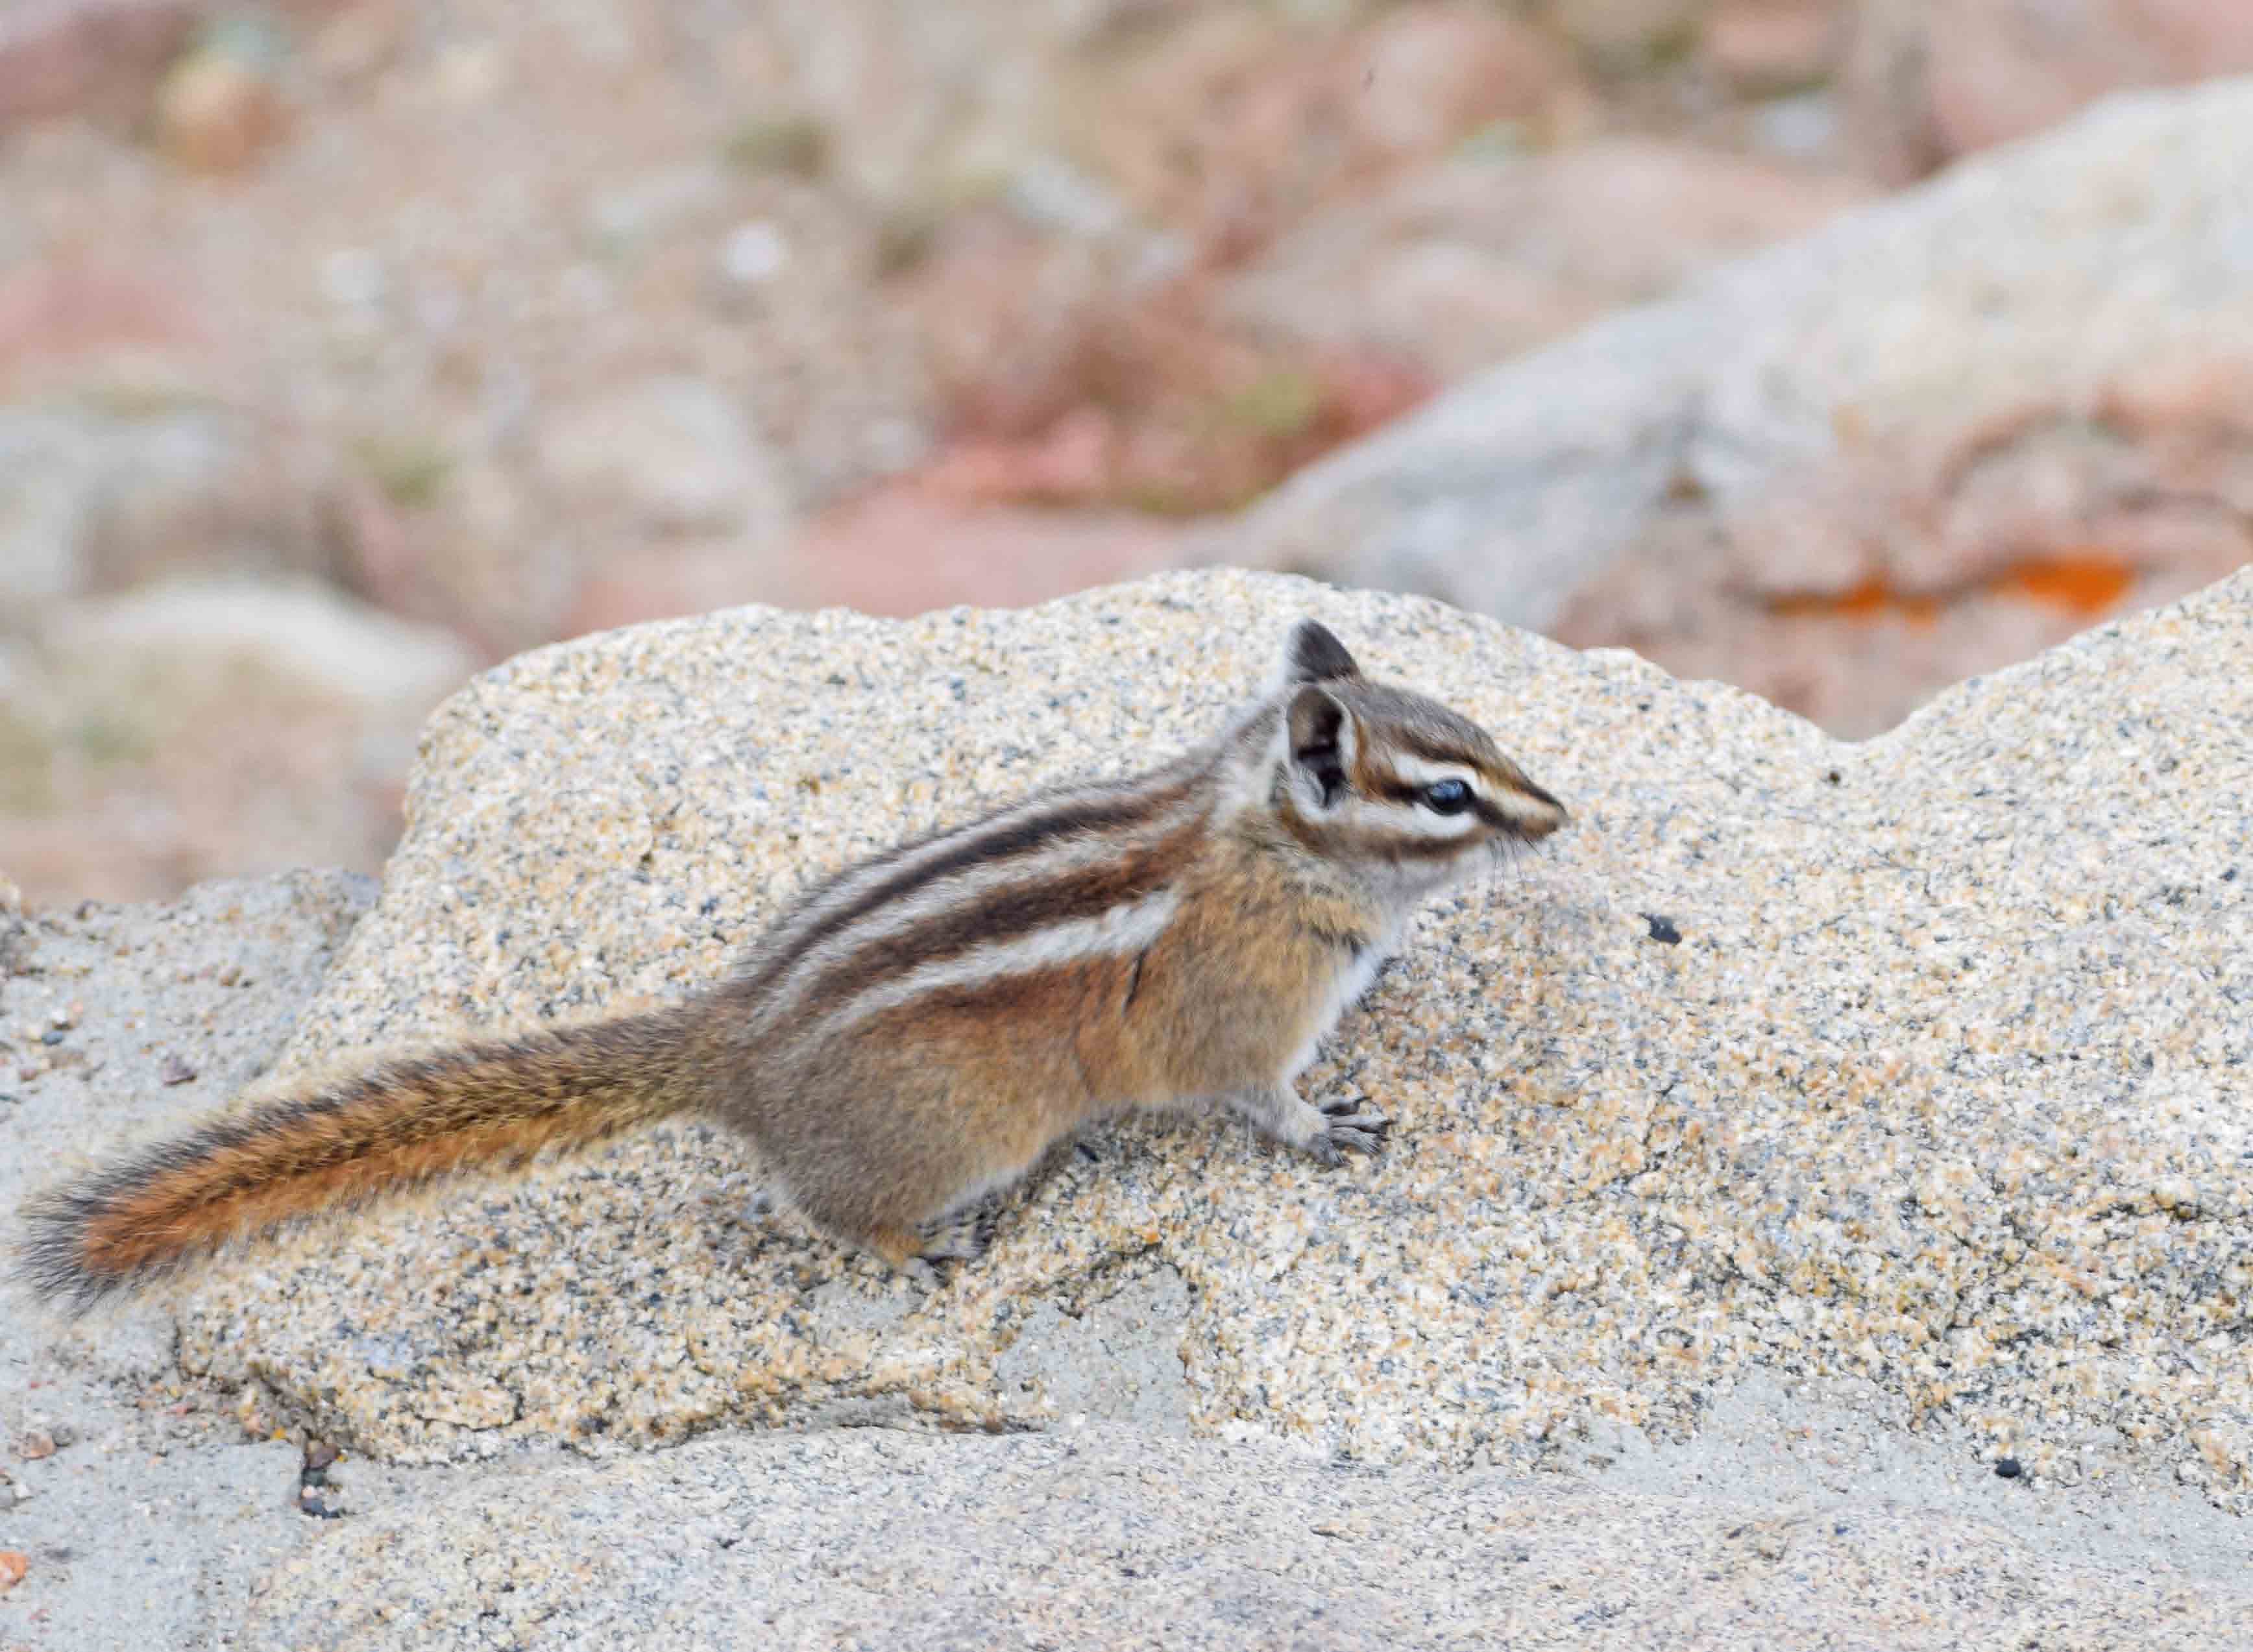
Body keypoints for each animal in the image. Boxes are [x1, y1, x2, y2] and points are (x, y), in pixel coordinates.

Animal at [16, 620, 1565, 1310]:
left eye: (1481, 736)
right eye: (1445, 796)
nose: (1559, 815)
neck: (1261, 840)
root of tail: (736, 1041)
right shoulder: (1236, 1015)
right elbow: (1257, 1099)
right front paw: (1324, 1126)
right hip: (954, 1137)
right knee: (815, 1212)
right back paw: (920, 1243)